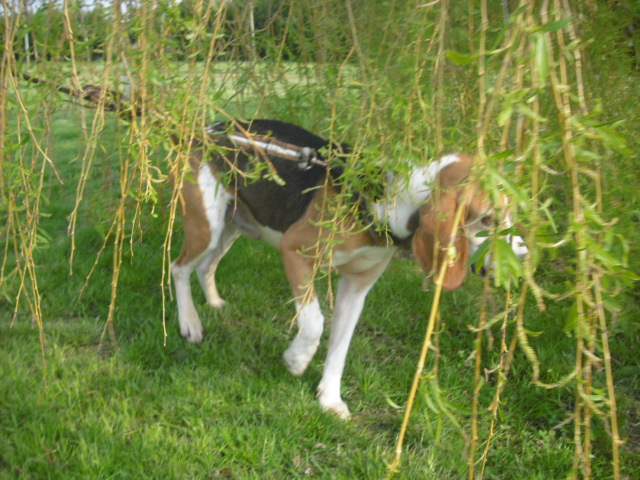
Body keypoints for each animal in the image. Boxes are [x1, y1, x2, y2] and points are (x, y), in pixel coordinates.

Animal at [170, 119, 524, 416]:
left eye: (510, 214)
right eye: (488, 219)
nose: (523, 257)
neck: (390, 201)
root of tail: (209, 128)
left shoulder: (356, 288)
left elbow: (340, 347)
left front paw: (329, 398)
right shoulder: (295, 251)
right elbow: (315, 323)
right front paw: (296, 361)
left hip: (234, 226)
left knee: (205, 267)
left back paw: (214, 303)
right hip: (206, 225)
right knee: (179, 268)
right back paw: (190, 323)